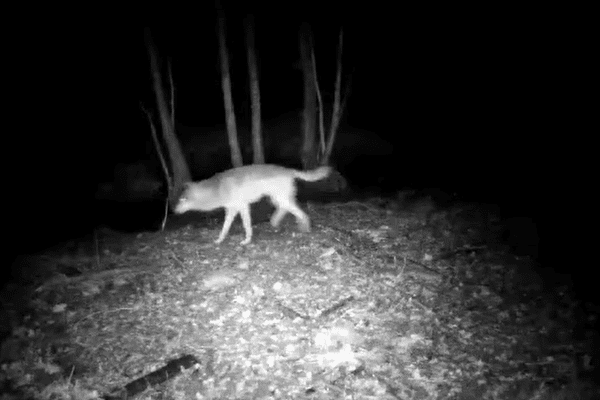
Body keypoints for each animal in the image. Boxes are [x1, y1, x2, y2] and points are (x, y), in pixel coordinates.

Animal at [173, 164, 332, 245]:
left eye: (182, 199)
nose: (174, 211)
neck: (217, 189)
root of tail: (288, 170)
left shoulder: (242, 207)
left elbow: (246, 225)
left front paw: (247, 240)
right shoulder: (232, 209)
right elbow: (225, 227)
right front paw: (219, 240)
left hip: (281, 199)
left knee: (301, 213)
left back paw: (304, 227)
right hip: (277, 199)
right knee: (285, 210)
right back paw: (276, 223)